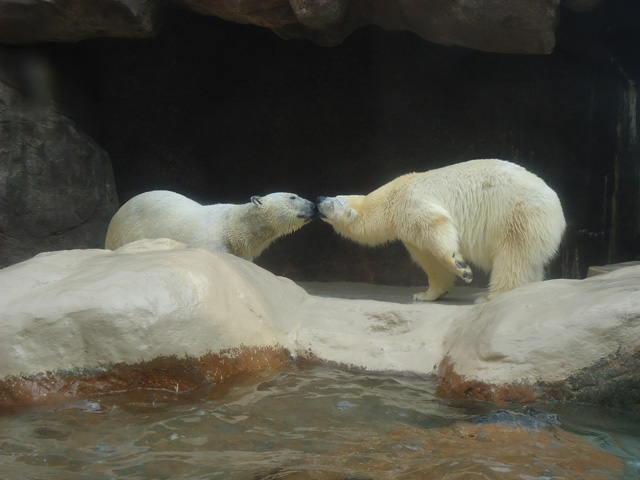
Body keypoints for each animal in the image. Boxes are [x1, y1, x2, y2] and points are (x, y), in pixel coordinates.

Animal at [316, 159, 564, 302]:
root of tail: (557, 210)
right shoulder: (408, 232)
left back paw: (489, 297)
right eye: (334, 195)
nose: (318, 198)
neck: (391, 198)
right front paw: (425, 294)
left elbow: (438, 228)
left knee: (512, 256)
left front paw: (462, 267)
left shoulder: (412, 205)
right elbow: (429, 260)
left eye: (334, 203)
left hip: (516, 214)